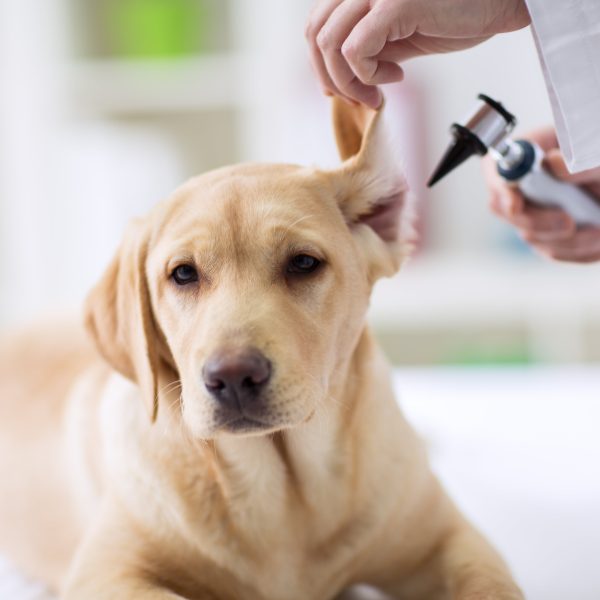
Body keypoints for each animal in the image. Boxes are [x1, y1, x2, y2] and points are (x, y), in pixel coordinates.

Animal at [0, 101, 524, 596]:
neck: (285, 492)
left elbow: (492, 588)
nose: (232, 377)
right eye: (183, 273)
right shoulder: (106, 574)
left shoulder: (454, 541)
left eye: (304, 263)